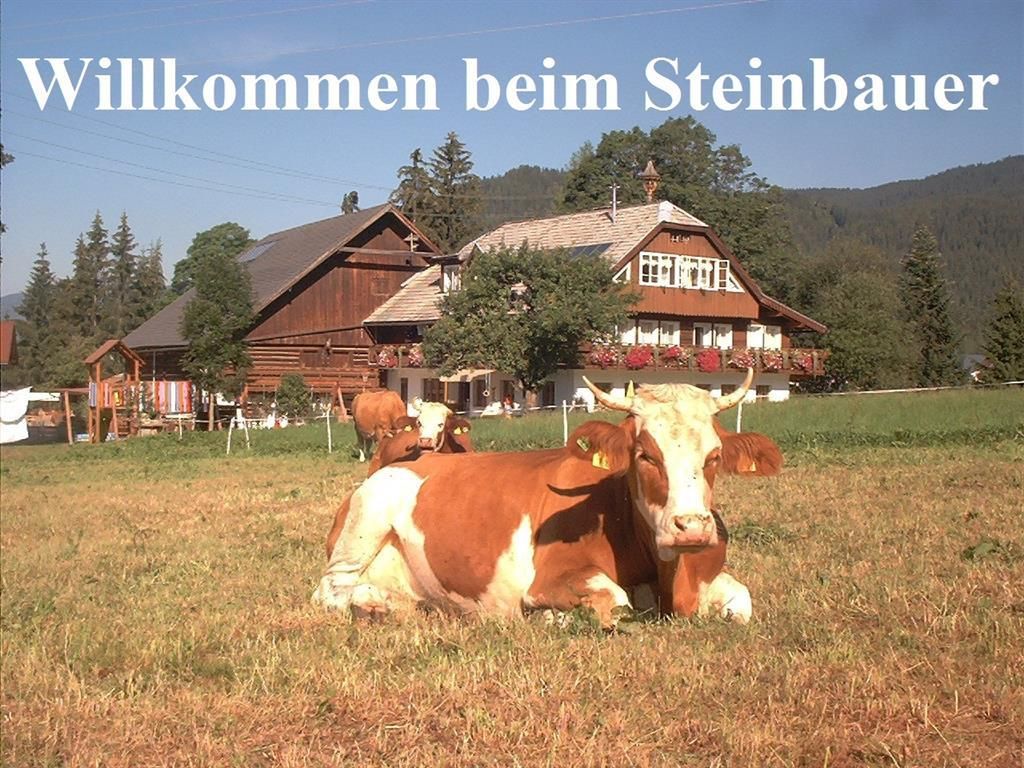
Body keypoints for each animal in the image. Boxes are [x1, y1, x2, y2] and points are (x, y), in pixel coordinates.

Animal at [313, 369, 782, 627]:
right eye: (645, 454)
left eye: (714, 456)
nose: (692, 528)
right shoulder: (550, 578)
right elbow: (616, 602)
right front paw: (553, 616)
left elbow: (742, 600)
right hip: (362, 528)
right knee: (330, 591)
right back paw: (371, 606)